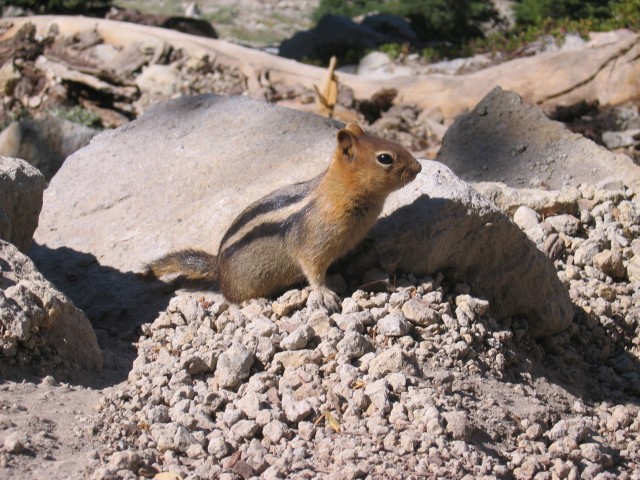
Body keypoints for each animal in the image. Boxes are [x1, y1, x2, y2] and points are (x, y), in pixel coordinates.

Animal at [145, 123, 422, 311]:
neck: (339, 193)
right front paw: (325, 295)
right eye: (385, 158)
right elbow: (312, 269)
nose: (418, 167)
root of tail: (218, 268)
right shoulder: (313, 244)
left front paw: (366, 242)